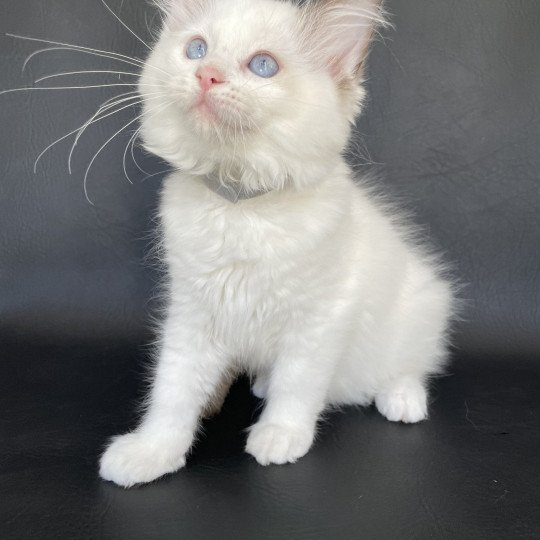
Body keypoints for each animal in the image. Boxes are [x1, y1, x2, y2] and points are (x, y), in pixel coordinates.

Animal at [99, 0, 454, 488]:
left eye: (263, 65)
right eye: (196, 50)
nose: (207, 74)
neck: (241, 204)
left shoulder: (321, 318)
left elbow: (297, 383)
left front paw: (280, 436)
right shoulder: (193, 314)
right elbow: (172, 391)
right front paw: (151, 452)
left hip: (421, 306)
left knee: (409, 364)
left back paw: (402, 400)